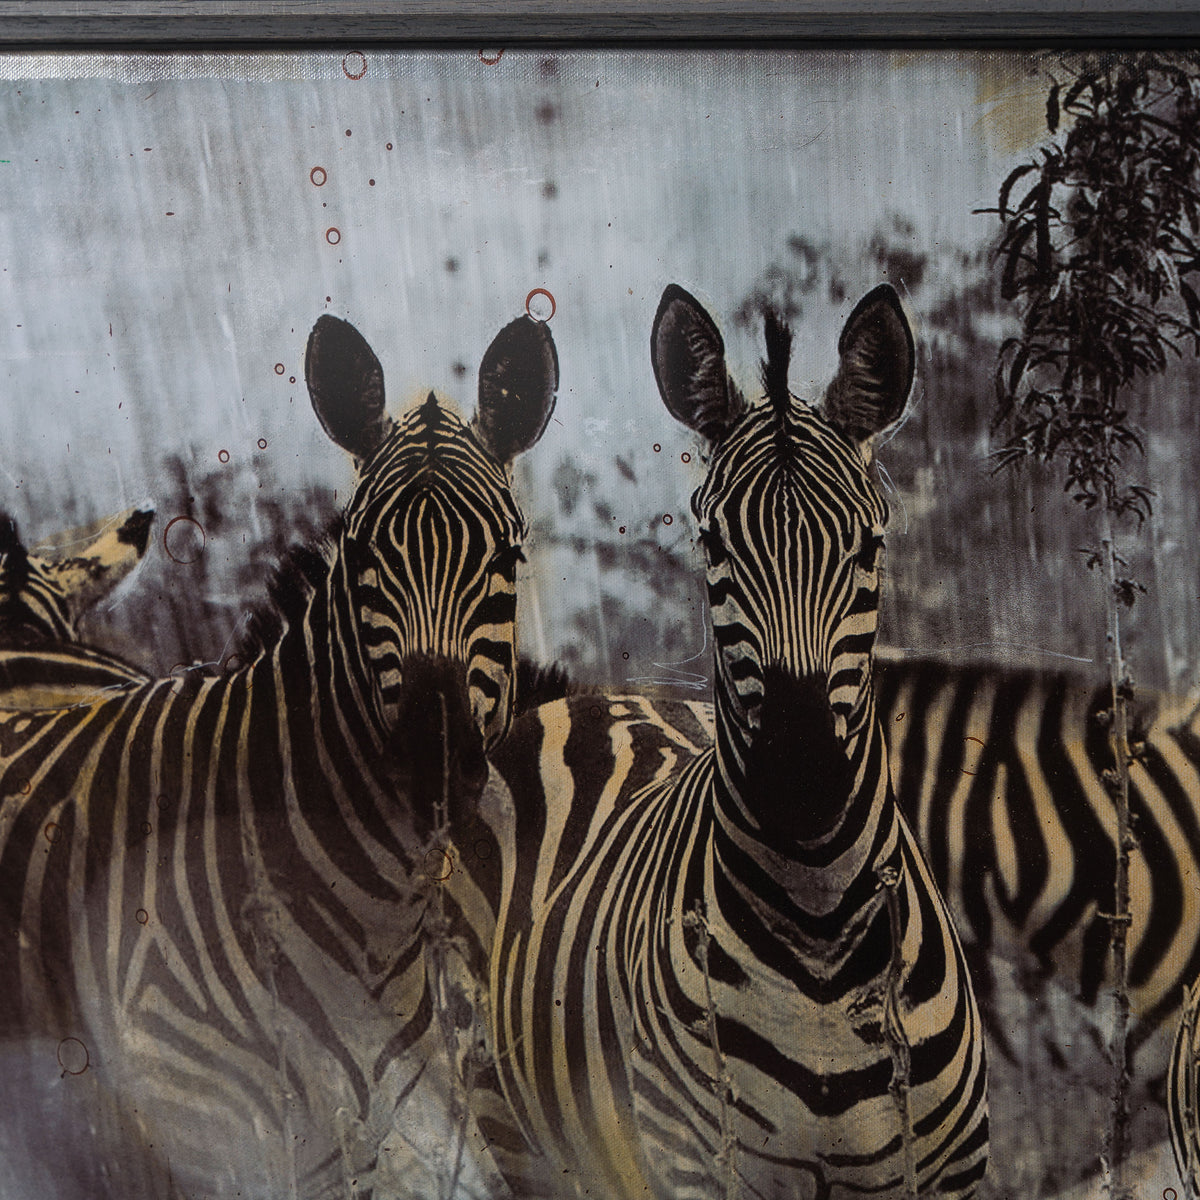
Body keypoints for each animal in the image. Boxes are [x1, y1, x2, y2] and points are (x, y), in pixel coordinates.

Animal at [481, 284, 989, 1199]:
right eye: (715, 544)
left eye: (869, 545)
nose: (803, 778)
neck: (823, 940)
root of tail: (582, 701)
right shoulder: (702, 1166)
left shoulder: (947, 1173)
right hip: (520, 1133)